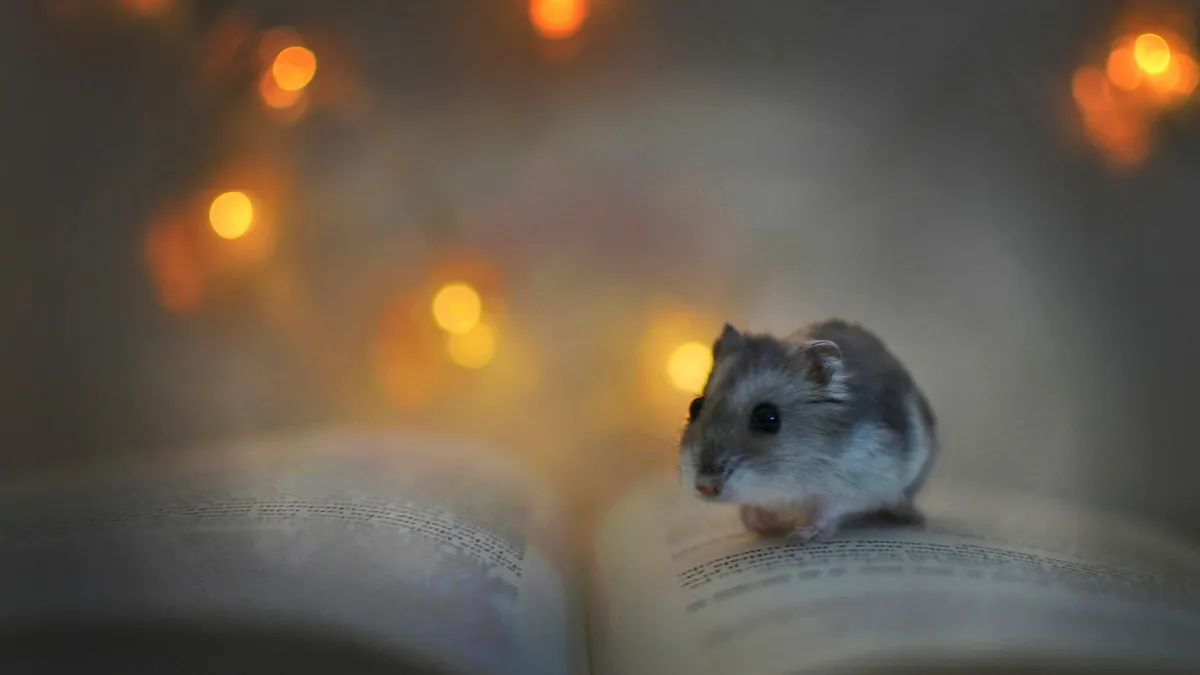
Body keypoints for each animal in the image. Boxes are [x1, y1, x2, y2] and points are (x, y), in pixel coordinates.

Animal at [677, 319, 938, 543]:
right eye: (695, 406)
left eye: (768, 418)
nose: (704, 486)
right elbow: (752, 508)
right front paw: (763, 525)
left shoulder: (861, 479)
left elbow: (828, 510)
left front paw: (800, 535)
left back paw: (915, 520)